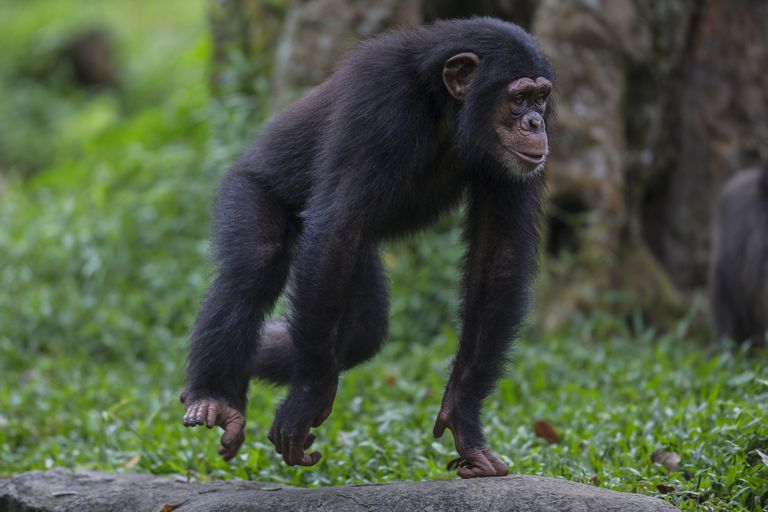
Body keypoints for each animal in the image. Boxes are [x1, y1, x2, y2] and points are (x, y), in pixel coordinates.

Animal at [183, 17, 556, 480]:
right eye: (518, 98)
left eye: (541, 98)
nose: (536, 123)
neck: (445, 108)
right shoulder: (379, 99)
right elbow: (338, 224)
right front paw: (307, 398)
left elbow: (498, 253)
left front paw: (463, 418)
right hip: (250, 186)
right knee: (253, 269)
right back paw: (214, 394)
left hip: (359, 265)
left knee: (360, 332)